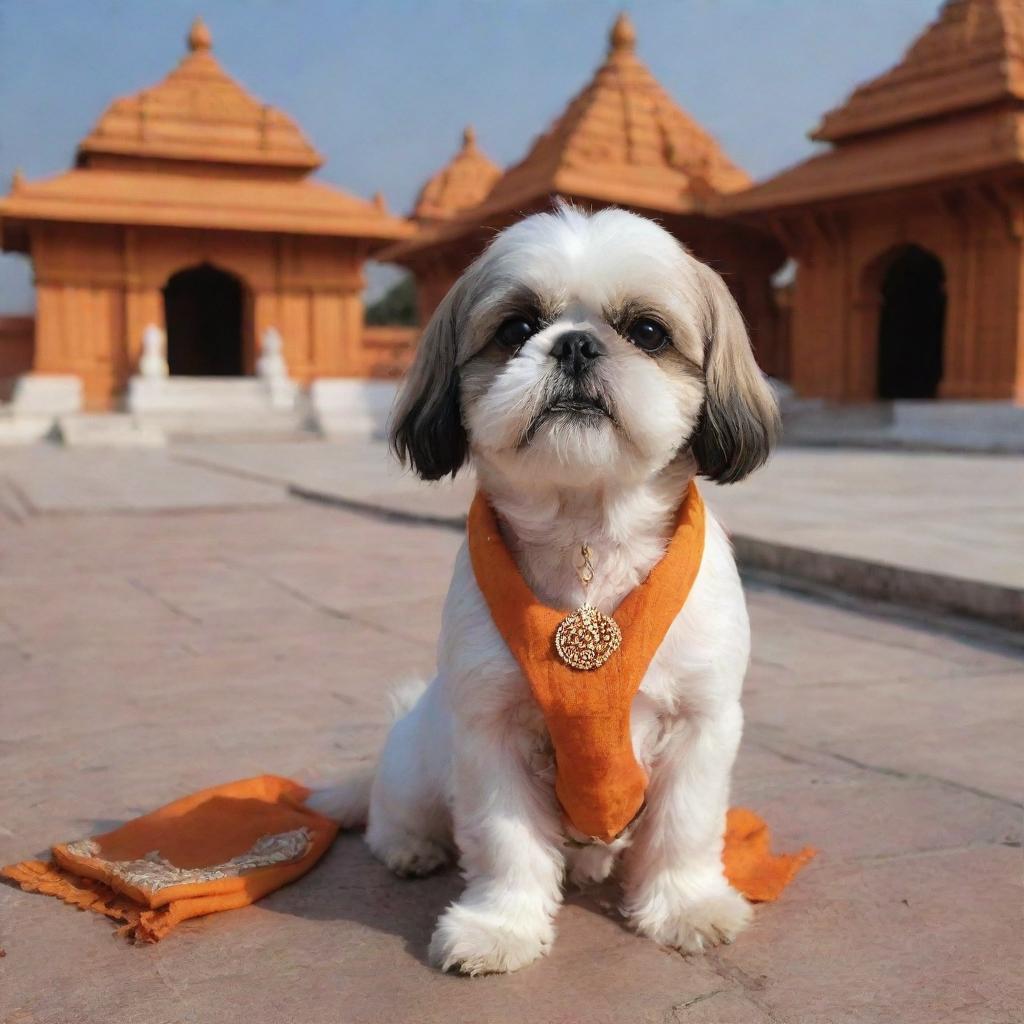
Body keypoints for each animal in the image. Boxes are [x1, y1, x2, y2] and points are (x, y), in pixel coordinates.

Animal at [309, 201, 774, 974]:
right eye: (517, 328)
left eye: (647, 331)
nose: (577, 346)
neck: (587, 537)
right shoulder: (490, 729)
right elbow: (506, 842)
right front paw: (500, 926)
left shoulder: (702, 722)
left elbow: (684, 826)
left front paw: (685, 905)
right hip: (414, 767)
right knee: (390, 813)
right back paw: (411, 846)